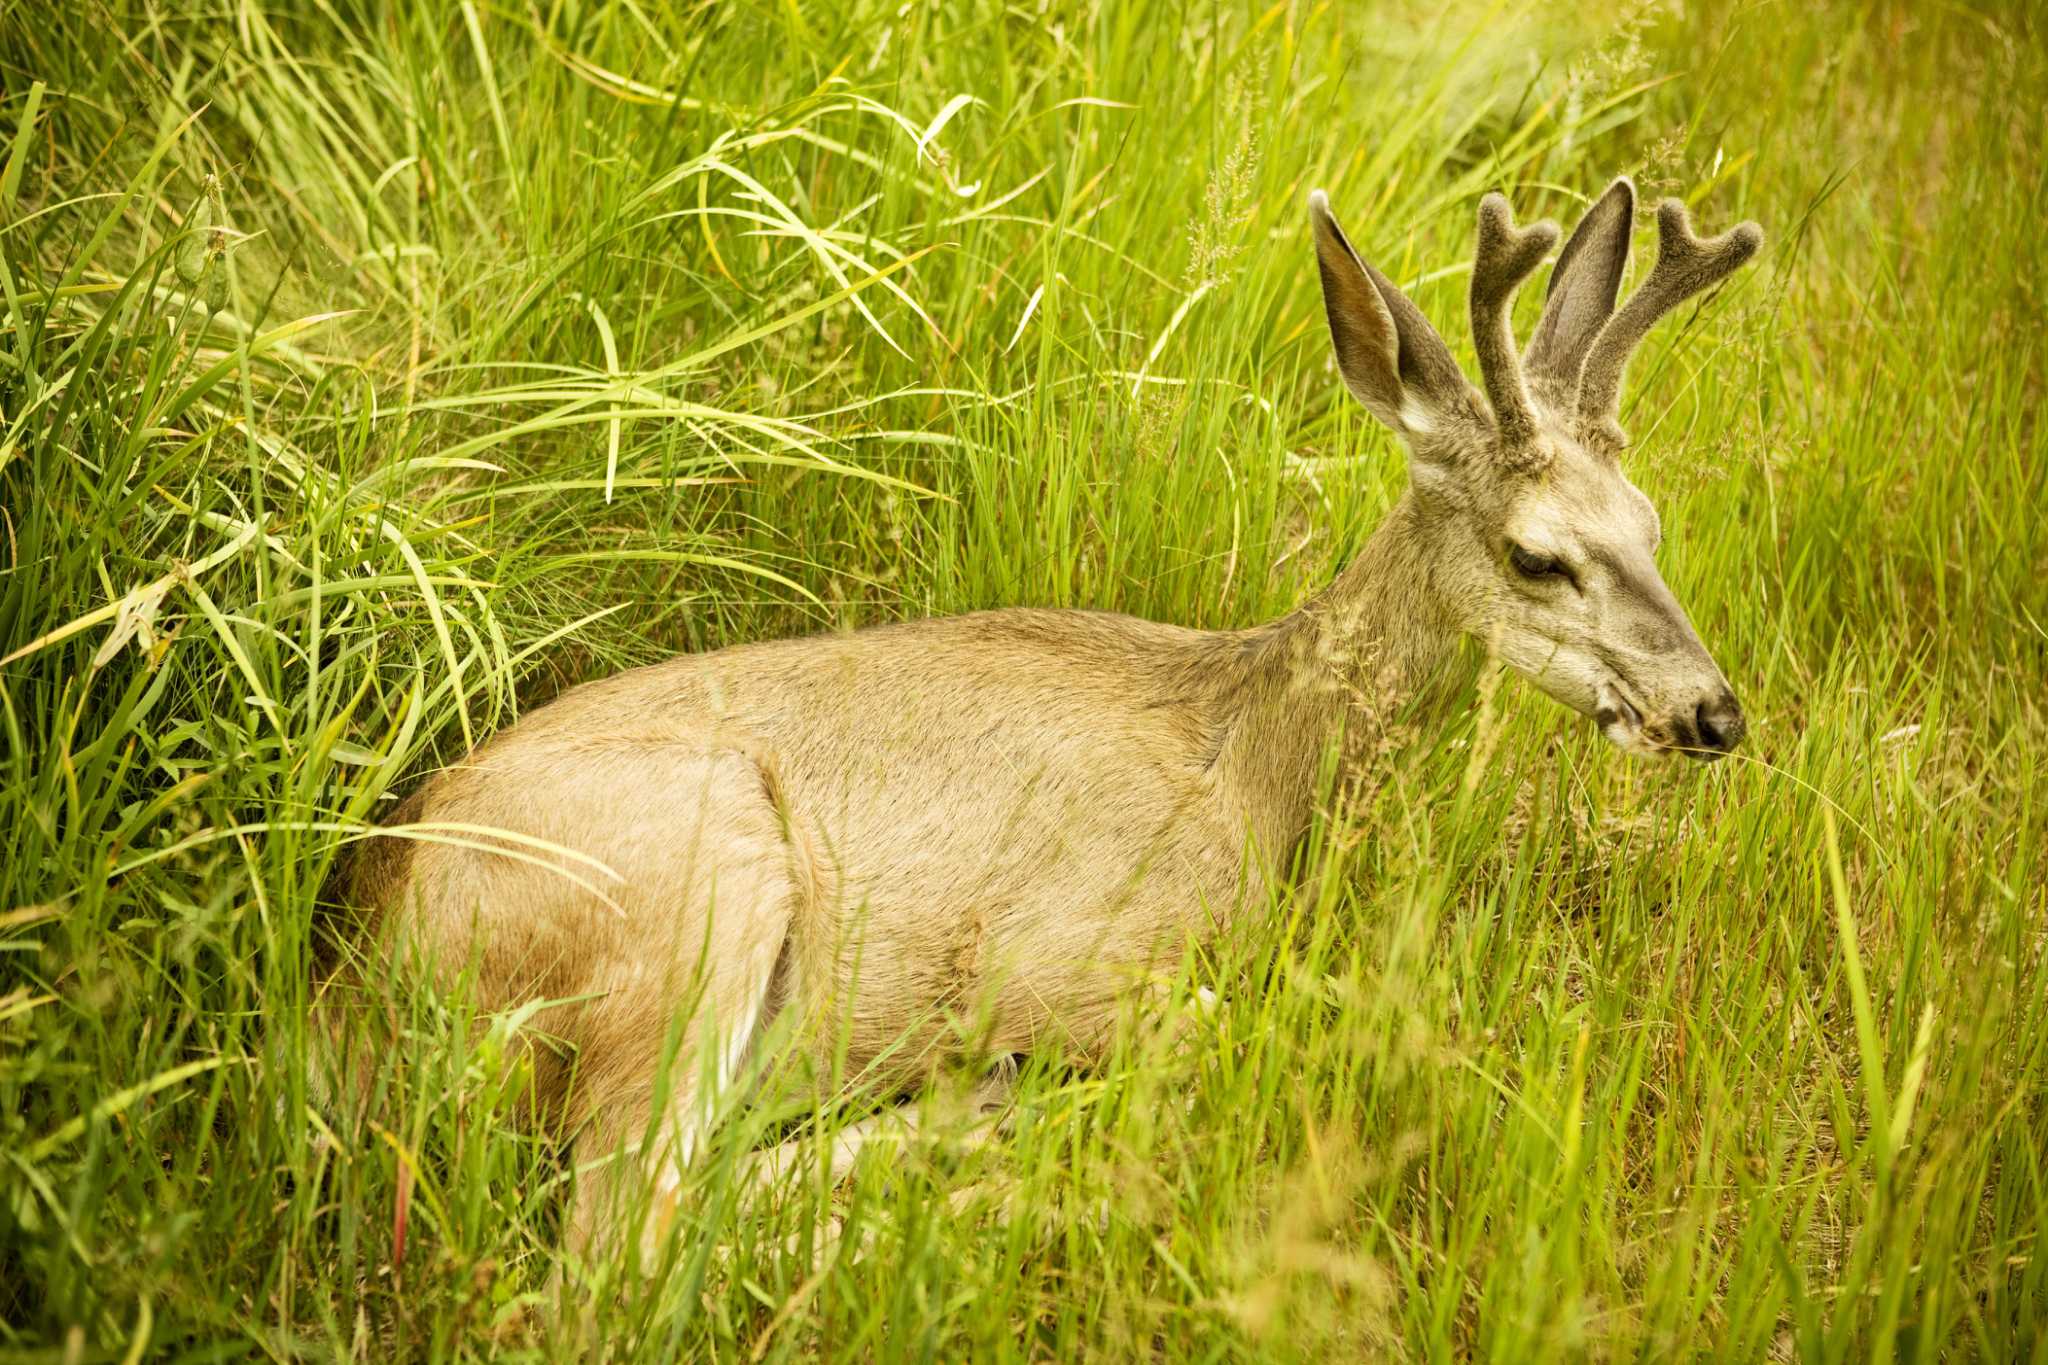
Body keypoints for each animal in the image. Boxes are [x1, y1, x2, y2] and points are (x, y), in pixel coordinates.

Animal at [316, 176, 1762, 1263]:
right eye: (1535, 555)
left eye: (1651, 523)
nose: (1712, 711)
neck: (1257, 764)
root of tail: (354, 973)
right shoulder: (1082, 955)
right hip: (689, 896)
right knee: (625, 1244)